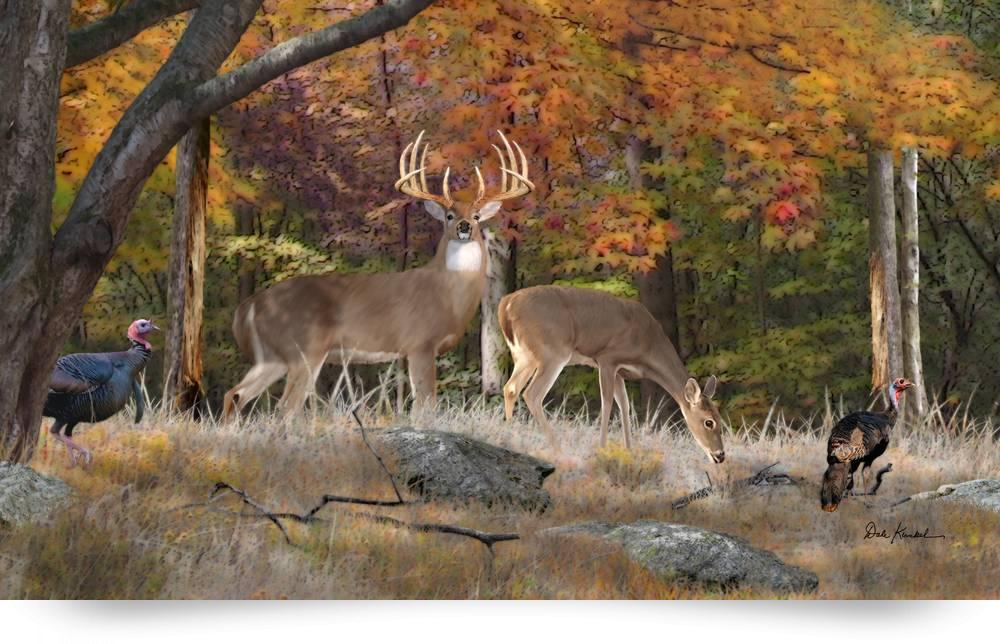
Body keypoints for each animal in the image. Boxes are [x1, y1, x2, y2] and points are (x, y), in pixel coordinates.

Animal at [222, 130, 534, 422]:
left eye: (477, 215)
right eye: (448, 214)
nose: (465, 226)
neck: (446, 294)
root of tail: (248, 307)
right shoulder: (419, 342)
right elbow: (425, 404)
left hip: (273, 357)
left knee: (234, 394)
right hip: (303, 349)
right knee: (284, 407)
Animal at [498, 285, 726, 462]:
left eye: (719, 417)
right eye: (709, 422)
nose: (720, 455)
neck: (647, 347)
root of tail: (506, 304)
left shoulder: (620, 371)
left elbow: (624, 405)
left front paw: (629, 451)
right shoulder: (607, 358)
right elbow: (607, 402)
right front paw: (602, 448)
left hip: (524, 355)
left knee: (510, 387)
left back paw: (510, 435)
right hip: (552, 352)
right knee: (532, 394)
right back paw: (557, 449)